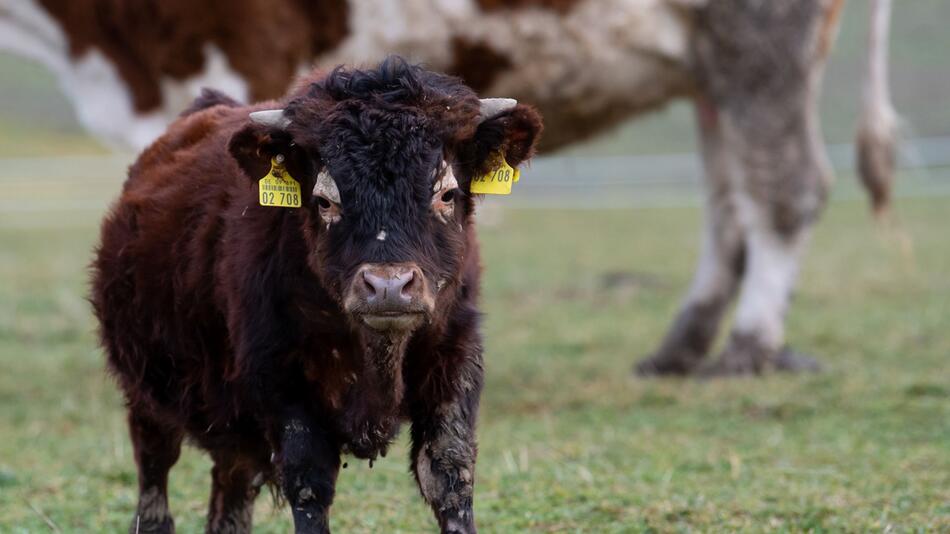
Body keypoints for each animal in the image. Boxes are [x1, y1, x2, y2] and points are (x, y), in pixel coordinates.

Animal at [0, 0, 896, 376]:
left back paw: (749, 347)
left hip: (759, 38)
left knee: (783, 185)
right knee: (728, 197)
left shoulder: (240, 38)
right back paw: (681, 345)